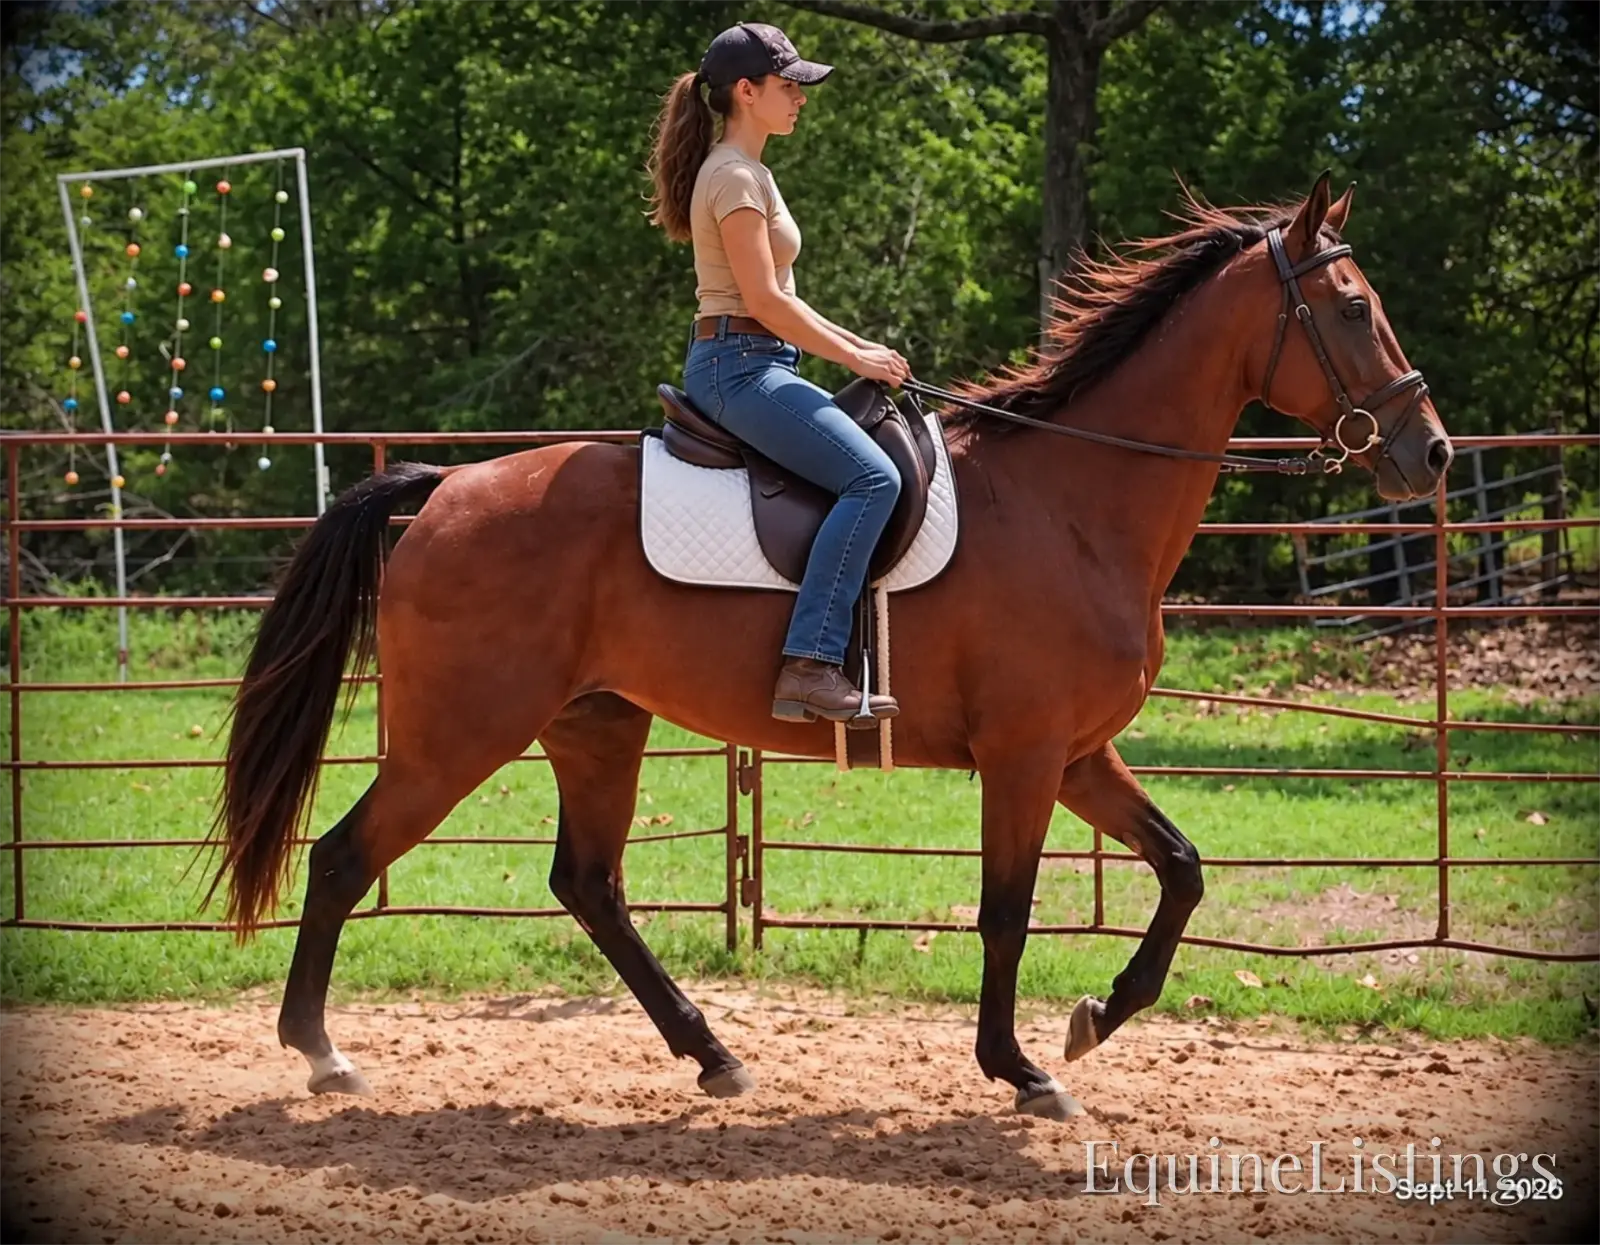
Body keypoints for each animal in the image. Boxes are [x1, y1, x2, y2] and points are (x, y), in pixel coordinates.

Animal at [206, 173, 1452, 1119]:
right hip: (458, 735)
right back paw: (321, 1052)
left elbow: (1183, 869)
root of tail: (444, 488)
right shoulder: (1024, 758)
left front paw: (1096, 1018)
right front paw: (1021, 1069)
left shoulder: (1078, 755)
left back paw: (712, 1055)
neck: (1071, 501)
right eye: (1351, 308)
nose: (1429, 452)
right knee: (344, 858)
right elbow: (1007, 912)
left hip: (594, 725)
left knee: (588, 885)